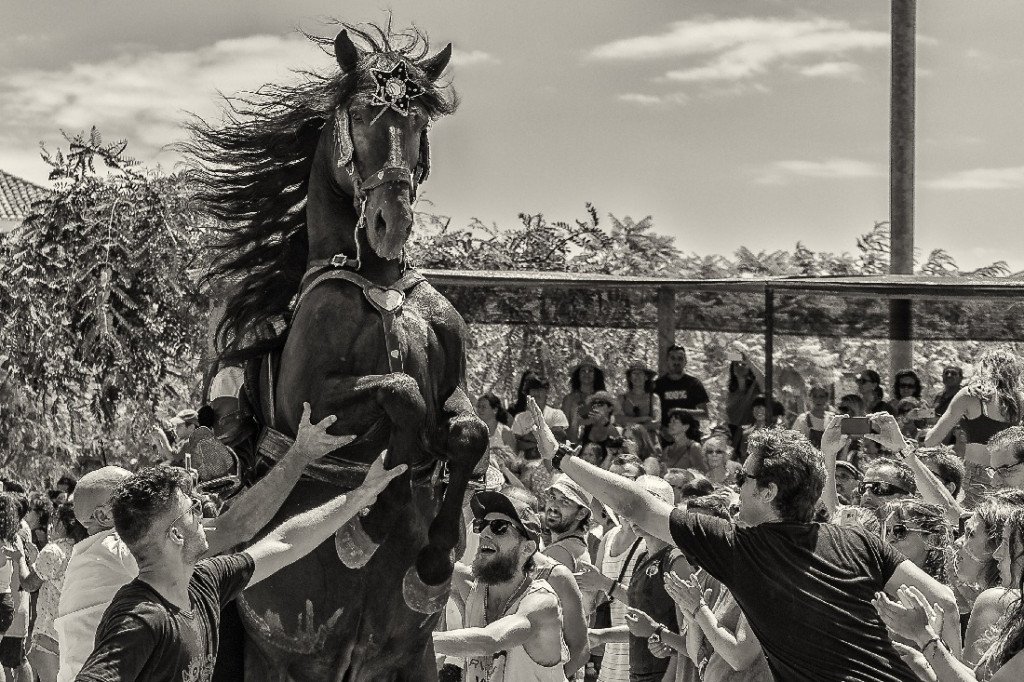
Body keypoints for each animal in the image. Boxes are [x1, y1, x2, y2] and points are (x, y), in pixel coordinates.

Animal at [187, 22, 487, 679]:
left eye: (417, 122)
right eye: (363, 115)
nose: (389, 223)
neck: (377, 281)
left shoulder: (456, 391)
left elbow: (466, 431)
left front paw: (433, 558)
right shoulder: (313, 399)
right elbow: (402, 393)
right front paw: (374, 518)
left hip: (410, 659)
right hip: (291, 662)